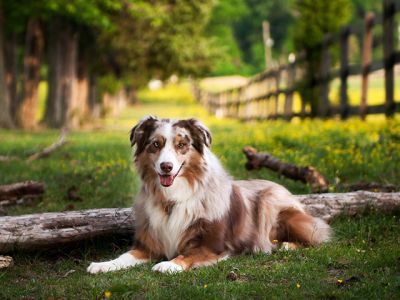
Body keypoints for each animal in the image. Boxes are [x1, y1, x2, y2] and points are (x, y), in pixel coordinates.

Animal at [88, 116, 332, 274]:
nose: (166, 167)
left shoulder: (213, 246)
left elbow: (188, 255)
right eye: (156, 144)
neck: (173, 199)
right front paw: (103, 265)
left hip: (273, 206)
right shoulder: (149, 245)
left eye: (182, 145)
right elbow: (124, 256)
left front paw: (169, 264)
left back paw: (286, 245)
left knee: (318, 237)